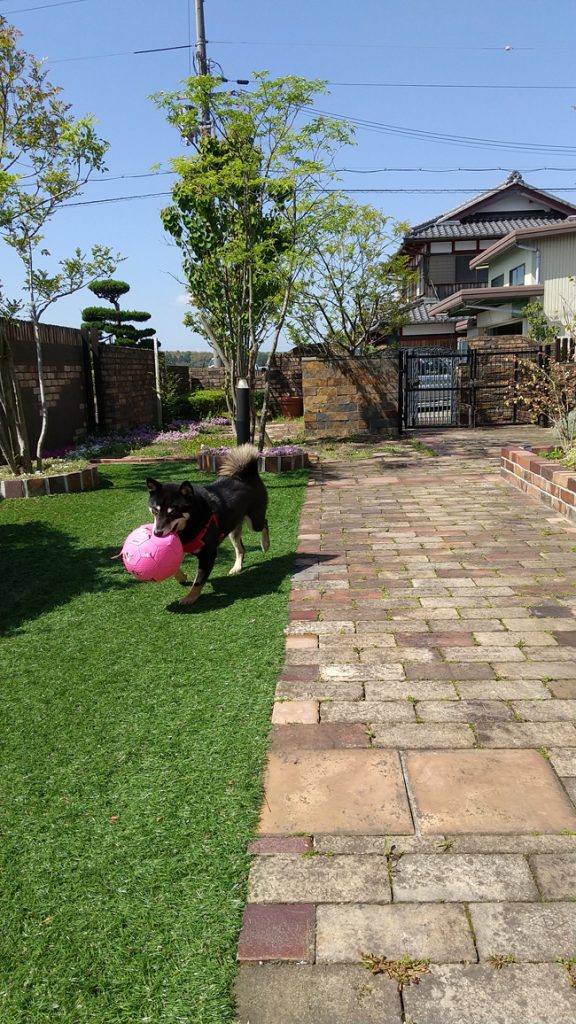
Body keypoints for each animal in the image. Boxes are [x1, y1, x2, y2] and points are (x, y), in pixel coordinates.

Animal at [146, 444, 270, 605]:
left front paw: (190, 597)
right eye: (155, 510)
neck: (192, 523)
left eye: (173, 513)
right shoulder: (180, 547)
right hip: (233, 528)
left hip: (254, 521)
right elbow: (171, 567)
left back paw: (265, 544)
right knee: (241, 548)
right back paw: (237, 567)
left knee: (265, 523)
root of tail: (247, 474)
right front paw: (182, 577)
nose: (157, 533)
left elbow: (199, 580)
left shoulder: (208, 554)